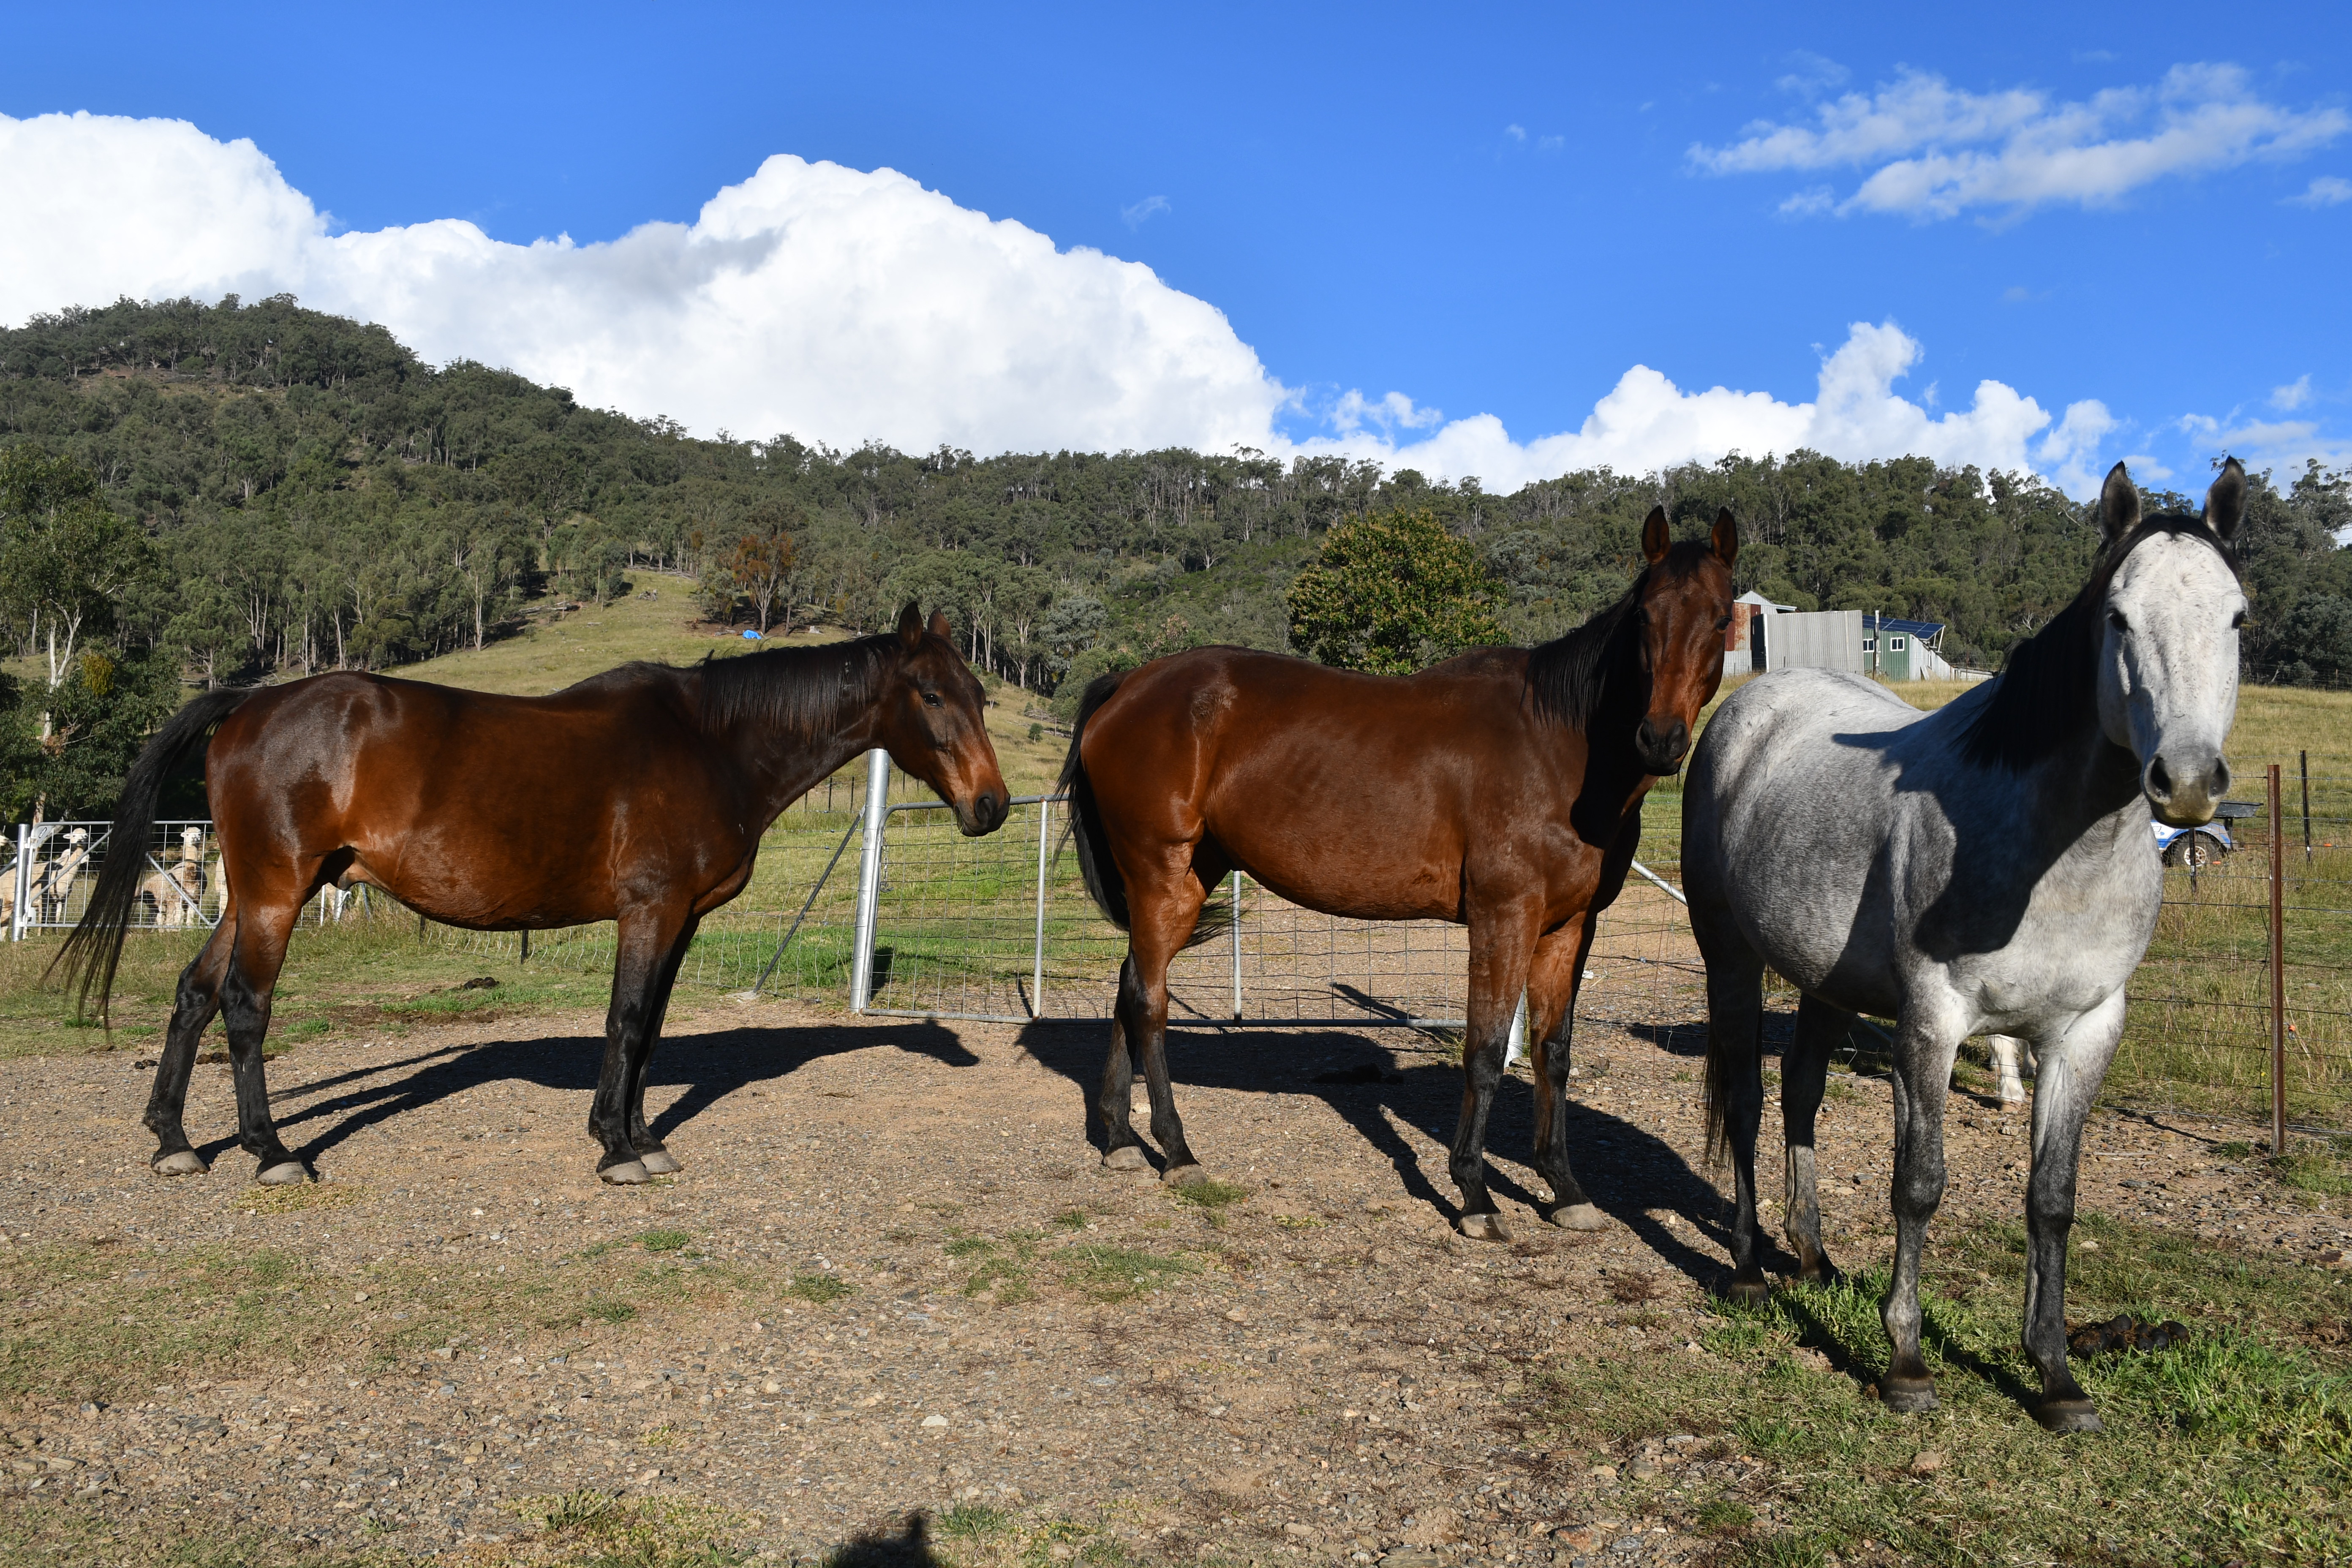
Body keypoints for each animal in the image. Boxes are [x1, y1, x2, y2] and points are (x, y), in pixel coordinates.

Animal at [58, 604, 1009, 1187]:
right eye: (931, 693)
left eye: (980, 693)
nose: (991, 806)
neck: (711, 743)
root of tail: (248, 706)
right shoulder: (650, 908)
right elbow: (627, 1020)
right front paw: (617, 1149)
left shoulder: (680, 920)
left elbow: (651, 1029)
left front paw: (643, 1136)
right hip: (277, 893)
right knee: (245, 1005)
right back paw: (270, 1151)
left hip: (255, 892)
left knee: (193, 993)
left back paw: (175, 1141)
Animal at [1059, 507, 1738, 1238]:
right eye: (1644, 617)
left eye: (1723, 617)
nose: (1661, 740)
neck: (1559, 747)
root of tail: (1128, 685)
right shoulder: (1504, 916)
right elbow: (1486, 1050)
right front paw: (1474, 1194)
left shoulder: (1569, 926)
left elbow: (1553, 1052)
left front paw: (1566, 1189)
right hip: (1158, 873)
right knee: (1149, 1003)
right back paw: (1178, 1151)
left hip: (1186, 881)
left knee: (1130, 987)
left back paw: (1121, 1142)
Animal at [1685, 460, 2245, 1433]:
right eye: (2117, 618)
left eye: (2240, 616)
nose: (2184, 781)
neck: (2055, 850)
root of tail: (1747, 706)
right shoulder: (1935, 1020)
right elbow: (1919, 1181)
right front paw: (1906, 1360)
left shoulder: (2086, 1031)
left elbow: (2051, 1199)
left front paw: (2055, 1373)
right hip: (1732, 958)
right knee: (1750, 1100)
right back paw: (1754, 1270)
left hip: (1826, 984)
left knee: (1801, 1095)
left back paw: (1814, 1257)